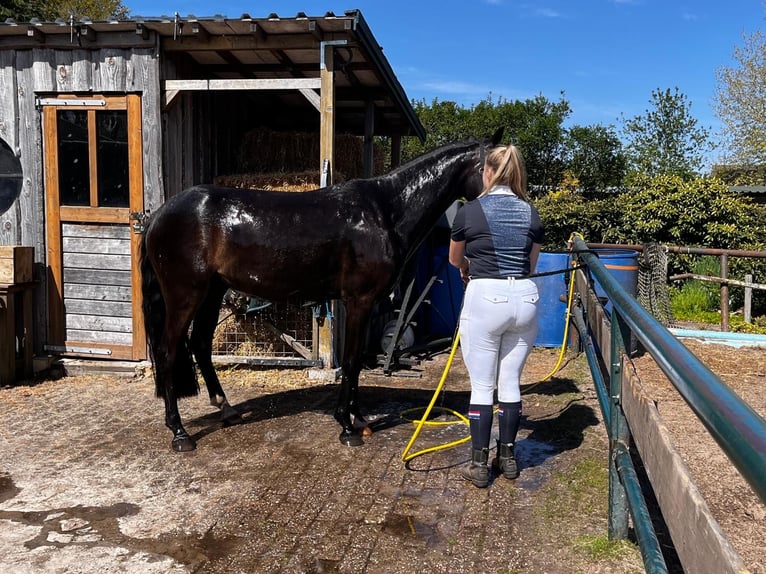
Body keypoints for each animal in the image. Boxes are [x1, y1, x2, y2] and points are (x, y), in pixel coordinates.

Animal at [140, 129, 502, 452]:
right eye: (496, 169)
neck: (385, 209)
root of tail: (159, 215)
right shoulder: (359, 301)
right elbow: (353, 360)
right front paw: (347, 426)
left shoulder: (363, 304)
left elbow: (355, 362)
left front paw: (359, 419)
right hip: (185, 295)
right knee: (168, 351)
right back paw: (180, 433)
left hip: (212, 292)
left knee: (200, 344)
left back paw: (226, 410)